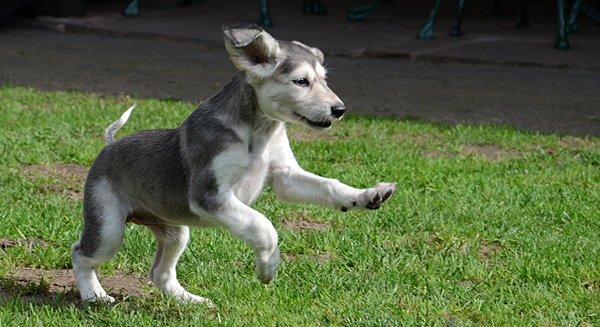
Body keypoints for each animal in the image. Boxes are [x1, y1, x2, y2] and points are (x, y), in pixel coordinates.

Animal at [71, 23, 398, 308]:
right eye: (301, 81)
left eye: (325, 79)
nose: (340, 109)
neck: (259, 133)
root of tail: (109, 145)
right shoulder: (210, 195)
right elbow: (263, 226)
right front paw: (268, 266)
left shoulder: (285, 176)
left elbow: (329, 186)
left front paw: (366, 195)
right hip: (109, 229)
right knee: (80, 253)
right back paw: (94, 296)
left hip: (175, 231)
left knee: (159, 273)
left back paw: (190, 301)